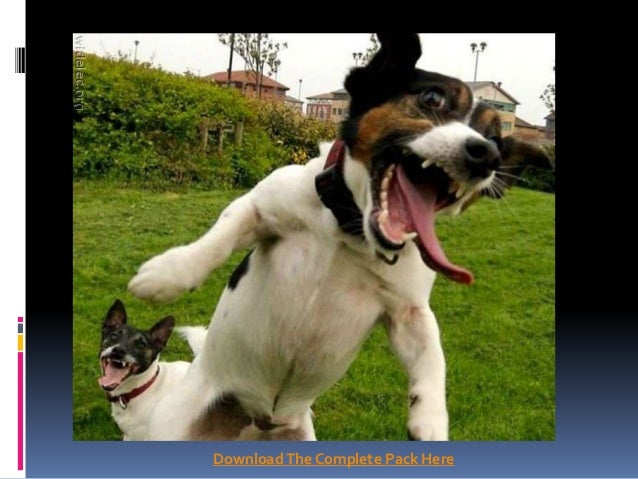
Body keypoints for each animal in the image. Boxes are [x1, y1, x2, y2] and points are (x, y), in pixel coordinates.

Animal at [128, 33, 550, 440]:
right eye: (432, 98)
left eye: (496, 137)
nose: (487, 155)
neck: (348, 231)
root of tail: (257, 419)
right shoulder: (261, 206)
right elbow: (221, 234)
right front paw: (168, 274)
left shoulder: (408, 310)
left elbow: (433, 357)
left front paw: (431, 419)